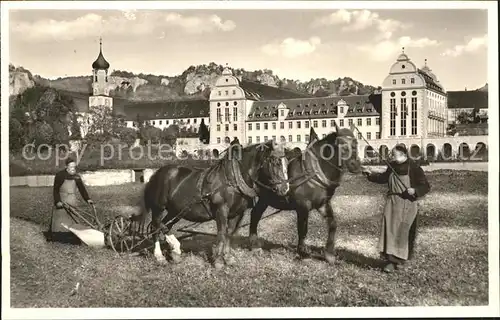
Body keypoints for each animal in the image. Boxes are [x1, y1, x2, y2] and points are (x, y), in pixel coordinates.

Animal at [141, 139, 290, 268]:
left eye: (286, 162)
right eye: (275, 162)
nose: (285, 188)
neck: (233, 180)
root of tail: (156, 174)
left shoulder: (236, 213)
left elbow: (229, 234)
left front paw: (228, 258)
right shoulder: (221, 210)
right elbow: (221, 234)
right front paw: (218, 261)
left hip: (176, 211)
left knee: (166, 225)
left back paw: (175, 252)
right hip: (158, 208)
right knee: (156, 227)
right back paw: (160, 256)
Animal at [248, 126, 362, 264]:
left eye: (356, 143)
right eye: (341, 144)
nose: (356, 165)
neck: (314, 172)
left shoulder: (323, 204)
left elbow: (333, 224)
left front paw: (329, 254)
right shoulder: (302, 207)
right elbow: (302, 229)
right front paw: (302, 252)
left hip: (264, 199)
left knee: (255, 214)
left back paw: (254, 244)